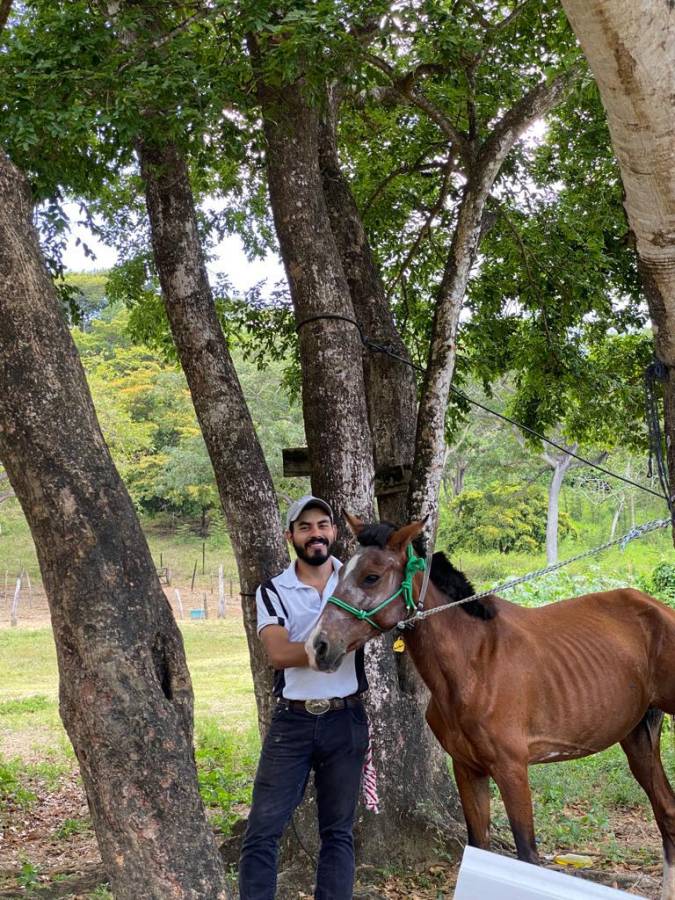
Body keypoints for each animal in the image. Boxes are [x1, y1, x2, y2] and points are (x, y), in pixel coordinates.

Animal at [306, 516, 675, 896]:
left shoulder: (512, 770)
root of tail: (657, 608)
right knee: (667, 813)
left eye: (372, 576)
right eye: (340, 572)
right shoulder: (468, 769)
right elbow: (478, 845)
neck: (477, 661)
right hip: (638, 738)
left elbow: (527, 856)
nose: (318, 646)